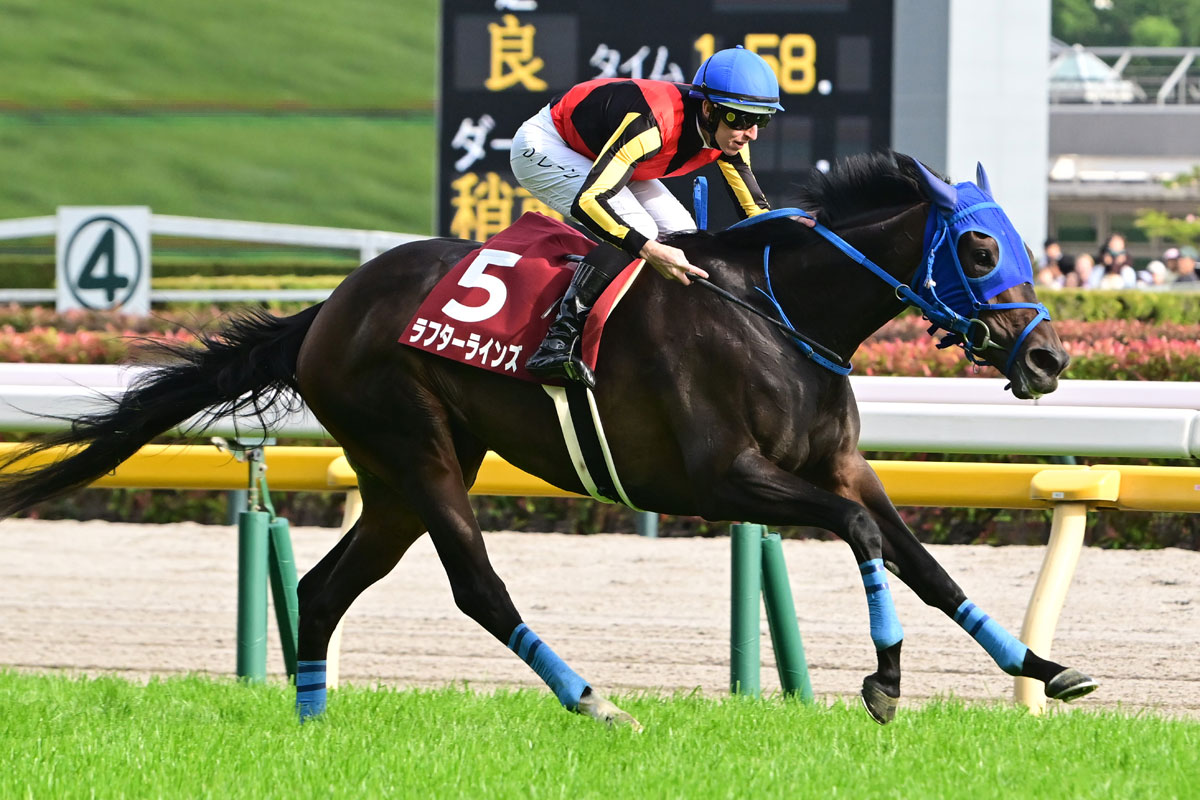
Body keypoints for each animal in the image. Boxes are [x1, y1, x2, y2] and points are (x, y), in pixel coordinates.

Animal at [0, 150, 1097, 727]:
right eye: (980, 247)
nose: (1048, 360)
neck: (774, 316)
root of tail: (325, 309)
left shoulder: (839, 464)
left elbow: (924, 561)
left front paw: (1046, 669)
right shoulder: (725, 480)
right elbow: (866, 541)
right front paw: (883, 680)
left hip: (398, 475)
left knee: (323, 585)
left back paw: (311, 719)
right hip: (417, 449)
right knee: (477, 585)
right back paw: (594, 699)